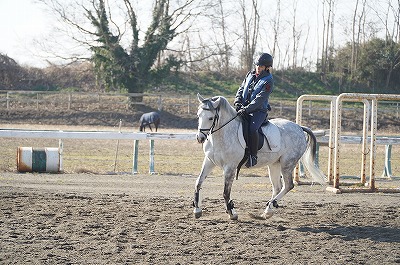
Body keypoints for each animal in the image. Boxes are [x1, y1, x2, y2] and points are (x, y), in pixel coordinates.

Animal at [192, 94, 326, 220]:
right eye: (198, 116)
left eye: (210, 118)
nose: (200, 138)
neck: (222, 135)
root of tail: (299, 127)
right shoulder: (209, 161)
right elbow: (198, 182)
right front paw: (197, 210)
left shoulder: (230, 166)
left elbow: (226, 192)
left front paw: (232, 213)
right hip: (274, 164)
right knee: (277, 187)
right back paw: (268, 211)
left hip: (287, 164)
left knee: (288, 185)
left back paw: (270, 207)